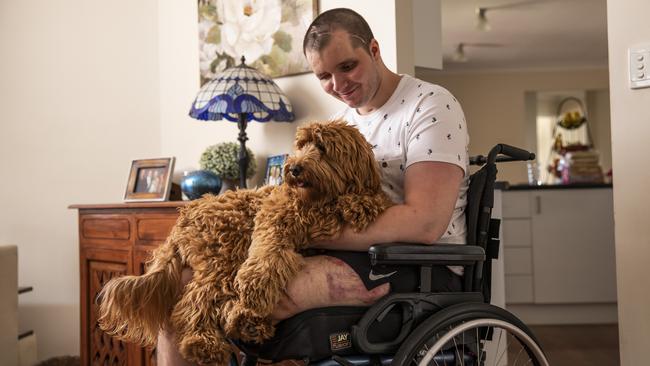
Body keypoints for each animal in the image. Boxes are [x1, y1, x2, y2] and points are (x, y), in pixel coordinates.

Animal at [96, 119, 390, 364]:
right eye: (301, 145)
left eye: (322, 147)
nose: (293, 168)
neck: (319, 198)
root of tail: (184, 217)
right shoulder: (274, 217)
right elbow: (268, 253)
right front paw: (256, 285)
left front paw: (362, 202)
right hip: (227, 251)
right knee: (193, 301)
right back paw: (205, 342)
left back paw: (246, 324)